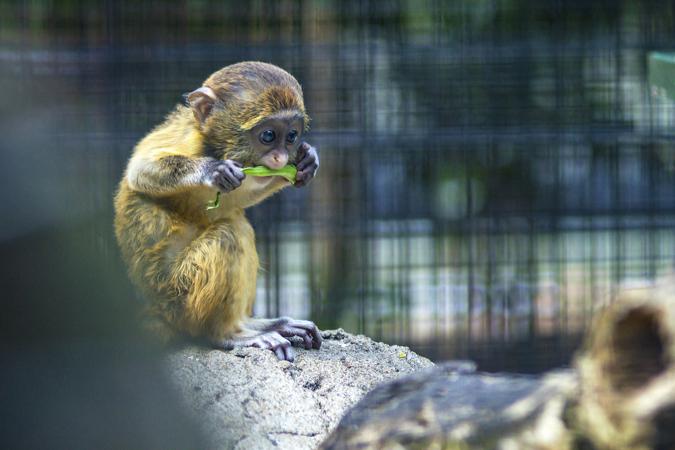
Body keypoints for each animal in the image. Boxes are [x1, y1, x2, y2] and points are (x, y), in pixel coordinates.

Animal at [113, 60, 322, 362]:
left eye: (291, 136)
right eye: (268, 135)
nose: (281, 158)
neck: (216, 147)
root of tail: (158, 311)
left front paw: (306, 161)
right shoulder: (188, 140)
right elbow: (140, 171)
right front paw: (213, 171)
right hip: (180, 297)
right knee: (230, 234)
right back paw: (228, 333)